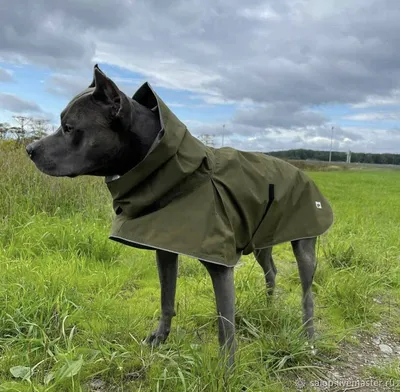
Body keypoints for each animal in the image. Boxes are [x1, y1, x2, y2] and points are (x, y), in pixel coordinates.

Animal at [27, 64, 334, 368]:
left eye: (69, 127)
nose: (29, 149)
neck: (175, 173)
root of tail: (303, 173)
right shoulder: (164, 249)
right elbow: (167, 297)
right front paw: (160, 337)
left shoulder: (220, 265)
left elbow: (225, 325)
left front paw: (227, 370)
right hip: (262, 239)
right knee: (271, 270)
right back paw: (269, 306)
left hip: (304, 244)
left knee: (307, 295)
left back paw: (308, 338)